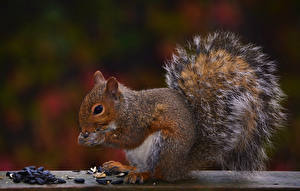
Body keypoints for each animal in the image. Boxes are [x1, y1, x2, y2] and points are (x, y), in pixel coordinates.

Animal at [78, 31, 286, 184]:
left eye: (98, 109)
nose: (84, 130)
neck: (124, 108)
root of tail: (181, 165)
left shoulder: (137, 119)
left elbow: (130, 137)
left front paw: (97, 138)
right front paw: (84, 138)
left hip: (165, 145)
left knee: (157, 173)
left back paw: (142, 174)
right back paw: (125, 167)